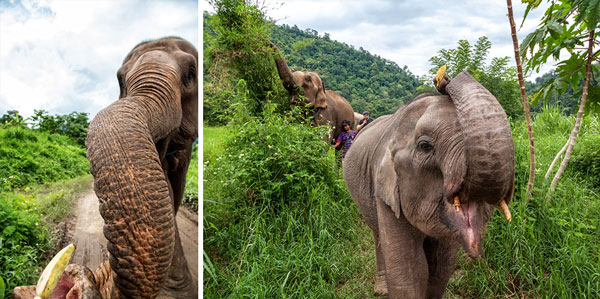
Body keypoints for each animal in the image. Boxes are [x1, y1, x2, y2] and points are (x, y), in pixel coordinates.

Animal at [342, 71, 516, 298]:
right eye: (425, 146)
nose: (444, 80)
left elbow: (440, 267)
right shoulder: (388, 193)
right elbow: (410, 271)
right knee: (376, 232)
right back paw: (381, 289)